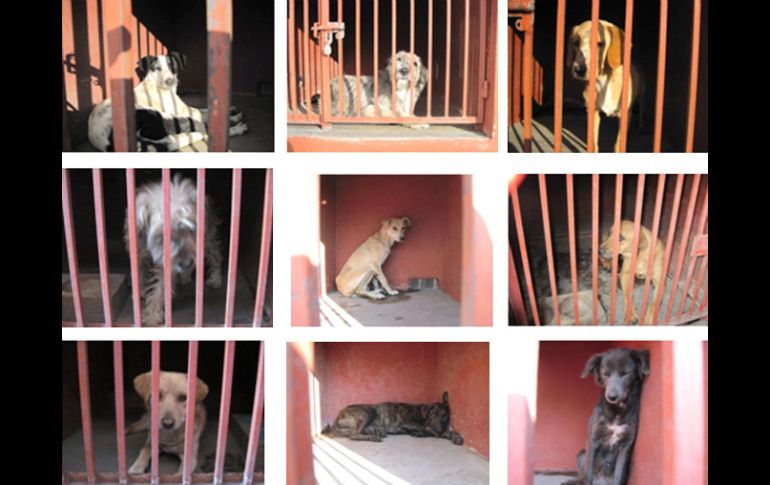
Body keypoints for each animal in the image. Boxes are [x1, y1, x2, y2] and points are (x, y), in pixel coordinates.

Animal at [88, 53, 248, 152]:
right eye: (157, 68)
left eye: (173, 66)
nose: (170, 81)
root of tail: (106, 140)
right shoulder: (183, 112)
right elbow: (204, 115)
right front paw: (232, 118)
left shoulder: (186, 109)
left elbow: (205, 110)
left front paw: (231, 110)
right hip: (163, 118)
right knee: (202, 129)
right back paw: (237, 128)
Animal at [125, 174, 223, 324]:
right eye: (163, 233)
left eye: (190, 228)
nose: (184, 260)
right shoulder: (138, 252)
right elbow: (139, 271)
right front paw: (139, 291)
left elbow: (160, 288)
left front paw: (152, 314)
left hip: (208, 240)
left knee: (216, 256)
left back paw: (215, 279)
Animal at [322, 391, 464, 445]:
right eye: (433, 415)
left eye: (445, 416)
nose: (440, 430)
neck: (420, 412)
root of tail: (336, 419)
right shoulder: (406, 423)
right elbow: (428, 429)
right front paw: (422, 432)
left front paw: (455, 435)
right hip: (367, 412)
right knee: (354, 435)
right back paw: (373, 437)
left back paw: (377, 432)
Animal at [562, 348, 649, 485]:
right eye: (605, 374)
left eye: (626, 372)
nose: (612, 396)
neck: (617, 411)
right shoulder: (594, 439)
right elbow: (589, 474)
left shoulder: (626, 444)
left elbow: (618, 474)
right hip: (581, 454)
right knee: (583, 476)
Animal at [567, 20, 646, 152]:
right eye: (576, 43)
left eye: (600, 44)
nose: (578, 70)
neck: (603, 81)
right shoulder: (593, 112)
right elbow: (593, 143)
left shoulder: (624, 115)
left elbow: (618, 143)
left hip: (641, 98)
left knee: (641, 112)